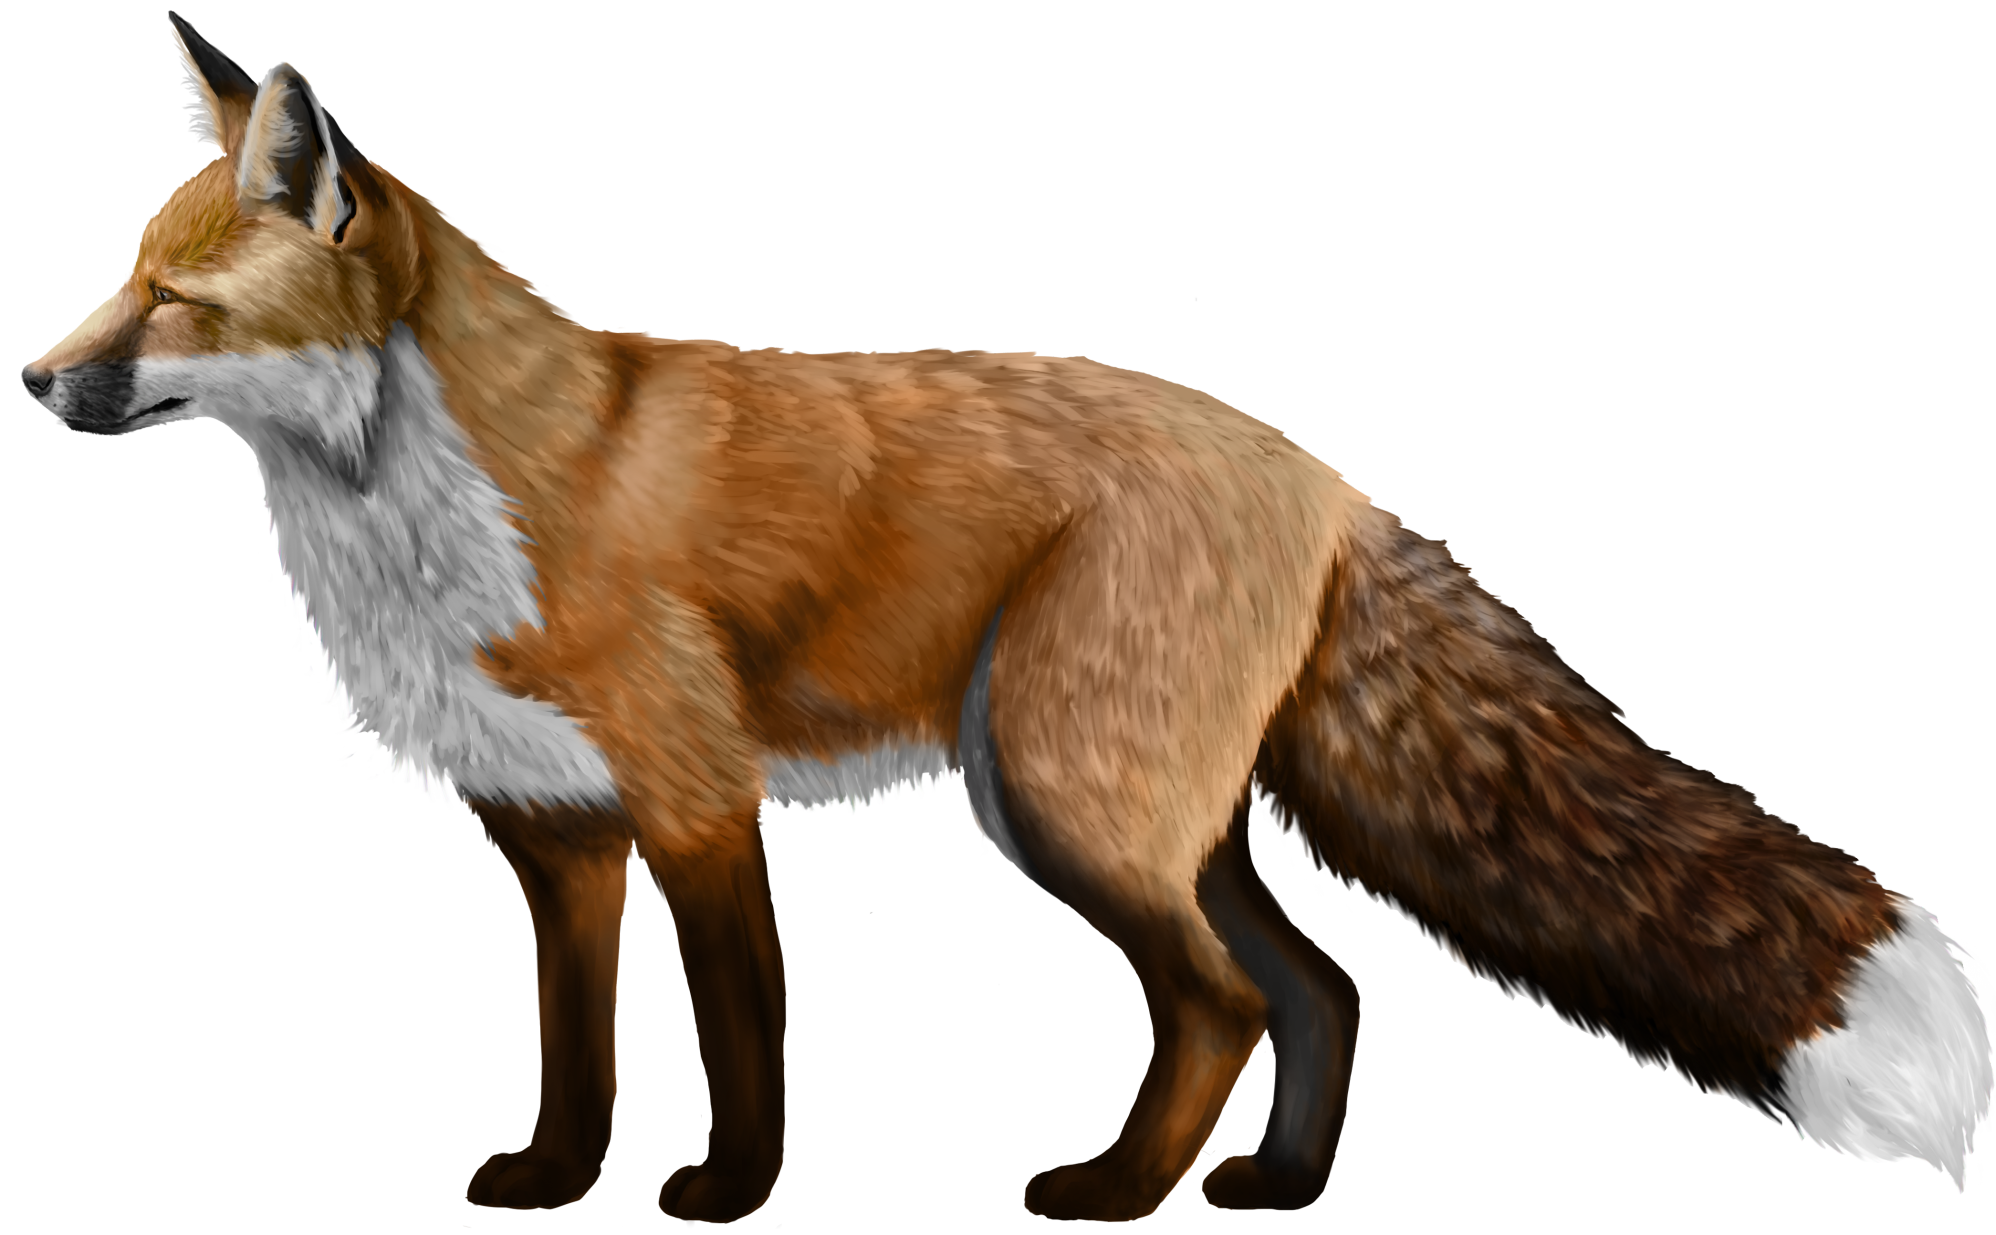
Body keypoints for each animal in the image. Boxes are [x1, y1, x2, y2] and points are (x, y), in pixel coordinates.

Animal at [21, 13, 1996, 1223]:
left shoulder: (696, 805)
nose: (35, 389)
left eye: (175, 303)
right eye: (122, 281)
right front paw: (566, 1190)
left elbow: (742, 1048)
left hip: (1065, 796)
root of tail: (1319, 475)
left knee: (1224, 1001)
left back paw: (1106, 1195)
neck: (436, 508)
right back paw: (1276, 1187)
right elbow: (574, 1052)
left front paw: (727, 1201)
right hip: (1131, 810)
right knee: (1311, 983)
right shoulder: (563, 835)